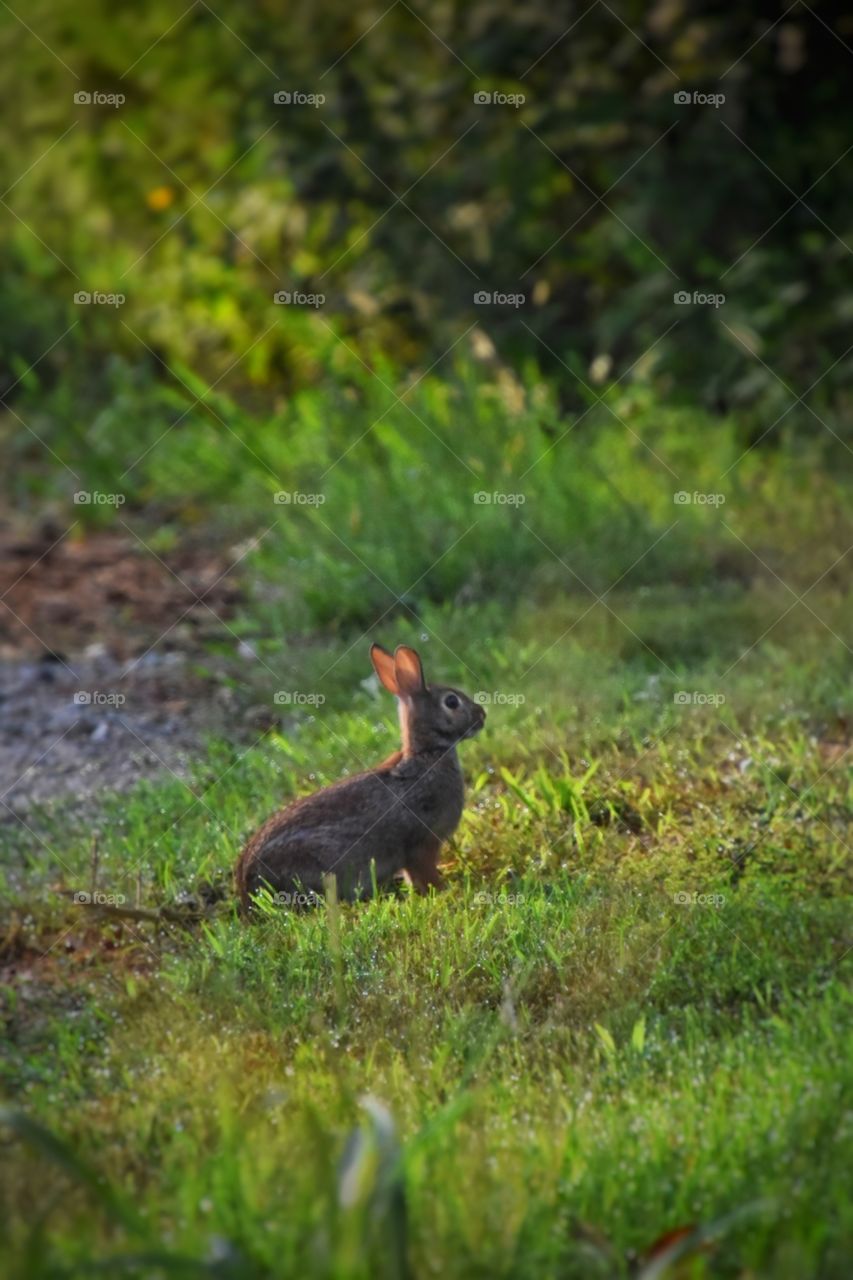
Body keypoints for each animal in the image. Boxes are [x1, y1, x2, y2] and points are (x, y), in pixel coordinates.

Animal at [236, 644, 485, 912]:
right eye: (451, 701)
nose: (482, 715)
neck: (427, 753)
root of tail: (246, 889)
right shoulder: (421, 844)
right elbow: (423, 874)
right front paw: (444, 891)